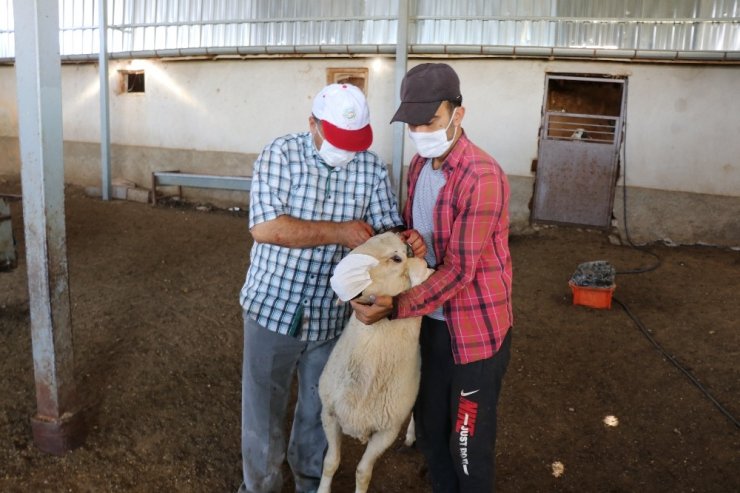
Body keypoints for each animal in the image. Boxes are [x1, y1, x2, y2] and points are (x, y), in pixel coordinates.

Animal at [318, 232, 434, 492]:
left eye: (397, 258)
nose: (336, 280)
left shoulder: (386, 432)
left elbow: (363, 473)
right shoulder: (329, 413)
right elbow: (330, 462)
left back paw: (411, 436)